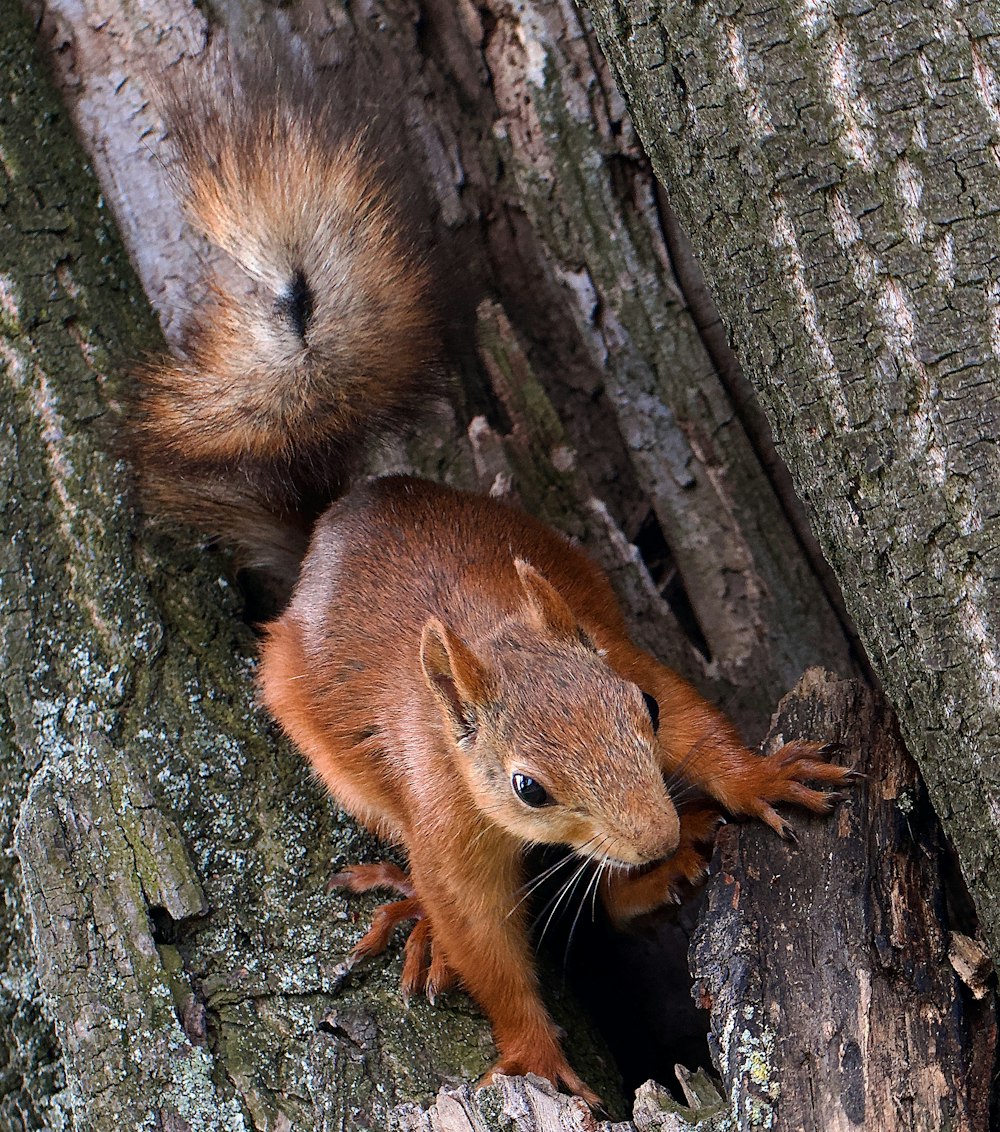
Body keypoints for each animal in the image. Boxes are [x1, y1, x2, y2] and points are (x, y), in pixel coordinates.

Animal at [130, 61, 851, 1104]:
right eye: (527, 787)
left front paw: (760, 778)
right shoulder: (445, 811)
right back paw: (455, 912)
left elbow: (701, 729)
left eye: (638, 710)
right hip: (343, 764)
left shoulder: (618, 649)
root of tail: (329, 526)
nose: (650, 837)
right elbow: (485, 940)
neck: (496, 632)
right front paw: (534, 1058)